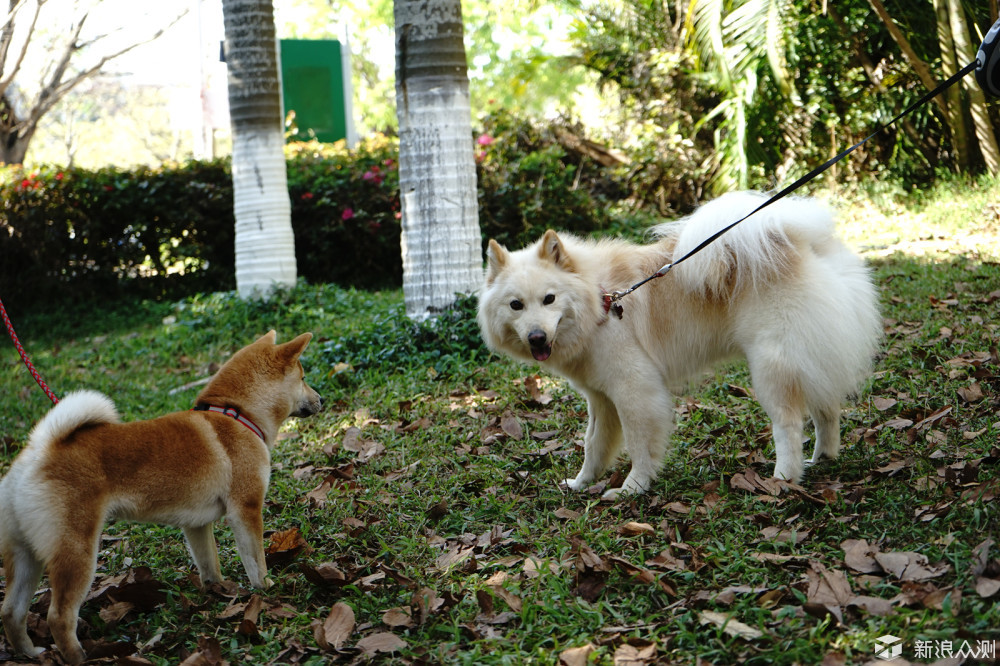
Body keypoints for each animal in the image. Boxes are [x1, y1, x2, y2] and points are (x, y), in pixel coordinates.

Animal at [0, 330, 320, 660]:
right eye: (304, 377)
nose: (321, 399)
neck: (235, 414)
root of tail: (39, 451)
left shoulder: (196, 525)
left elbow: (209, 563)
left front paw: (219, 590)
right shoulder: (246, 508)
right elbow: (256, 561)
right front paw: (266, 588)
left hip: (25, 554)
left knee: (11, 611)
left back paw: (30, 653)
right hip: (76, 551)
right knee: (59, 616)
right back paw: (78, 657)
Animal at [480, 189, 880, 496]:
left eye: (549, 299)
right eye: (516, 305)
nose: (536, 336)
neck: (599, 299)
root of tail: (797, 241)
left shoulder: (634, 391)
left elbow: (640, 445)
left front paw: (632, 489)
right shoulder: (601, 399)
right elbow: (593, 444)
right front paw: (581, 483)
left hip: (770, 368)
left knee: (789, 424)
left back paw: (783, 477)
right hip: (810, 357)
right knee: (827, 410)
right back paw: (823, 458)